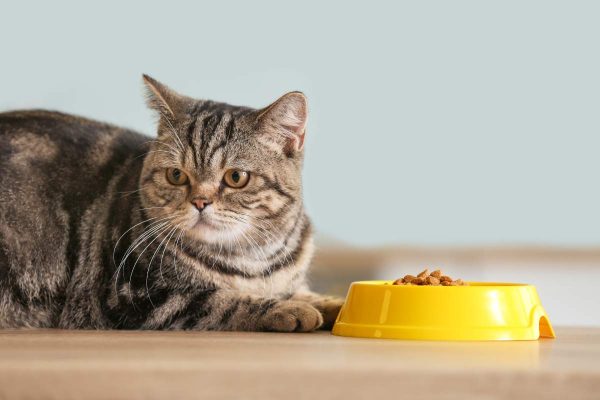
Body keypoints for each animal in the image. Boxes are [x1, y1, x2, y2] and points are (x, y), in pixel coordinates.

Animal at [0, 76, 344, 332]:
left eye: (236, 177)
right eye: (177, 175)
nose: (200, 201)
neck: (253, 259)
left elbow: (303, 291)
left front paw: (332, 302)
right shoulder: (136, 297)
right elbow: (223, 301)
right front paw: (289, 308)